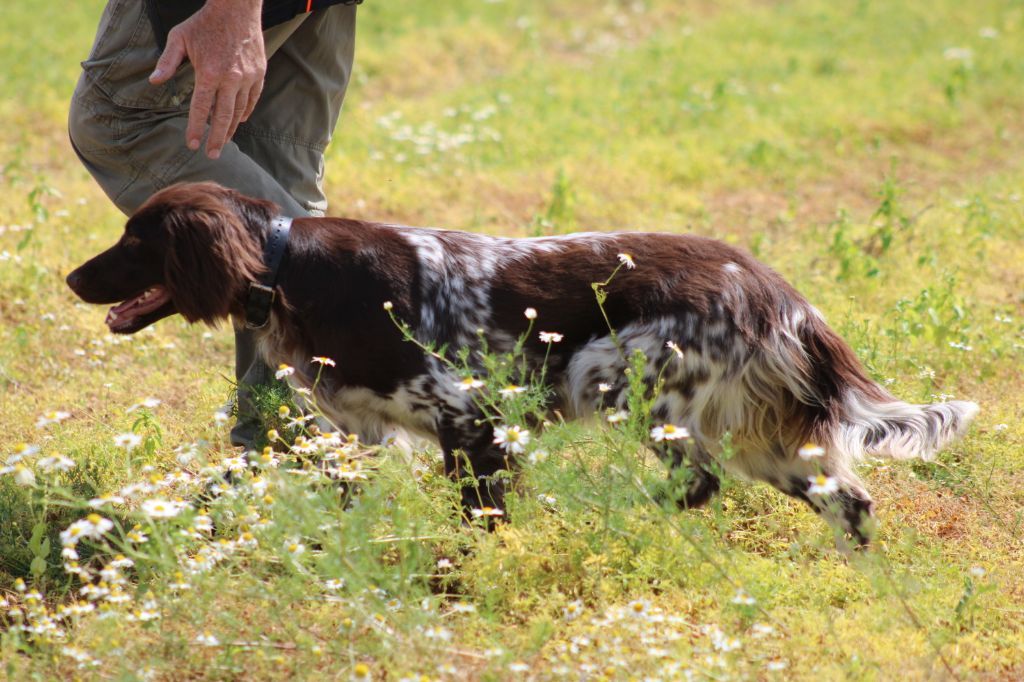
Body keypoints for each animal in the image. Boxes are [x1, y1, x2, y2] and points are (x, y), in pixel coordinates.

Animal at [68, 180, 978, 540]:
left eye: (135, 239)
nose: (71, 277)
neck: (290, 268)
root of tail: (776, 290)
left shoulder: (470, 418)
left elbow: (481, 517)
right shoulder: (362, 431)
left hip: (618, 378)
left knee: (697, 485)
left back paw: (624, 516)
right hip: (764, 437)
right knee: (848, 503)